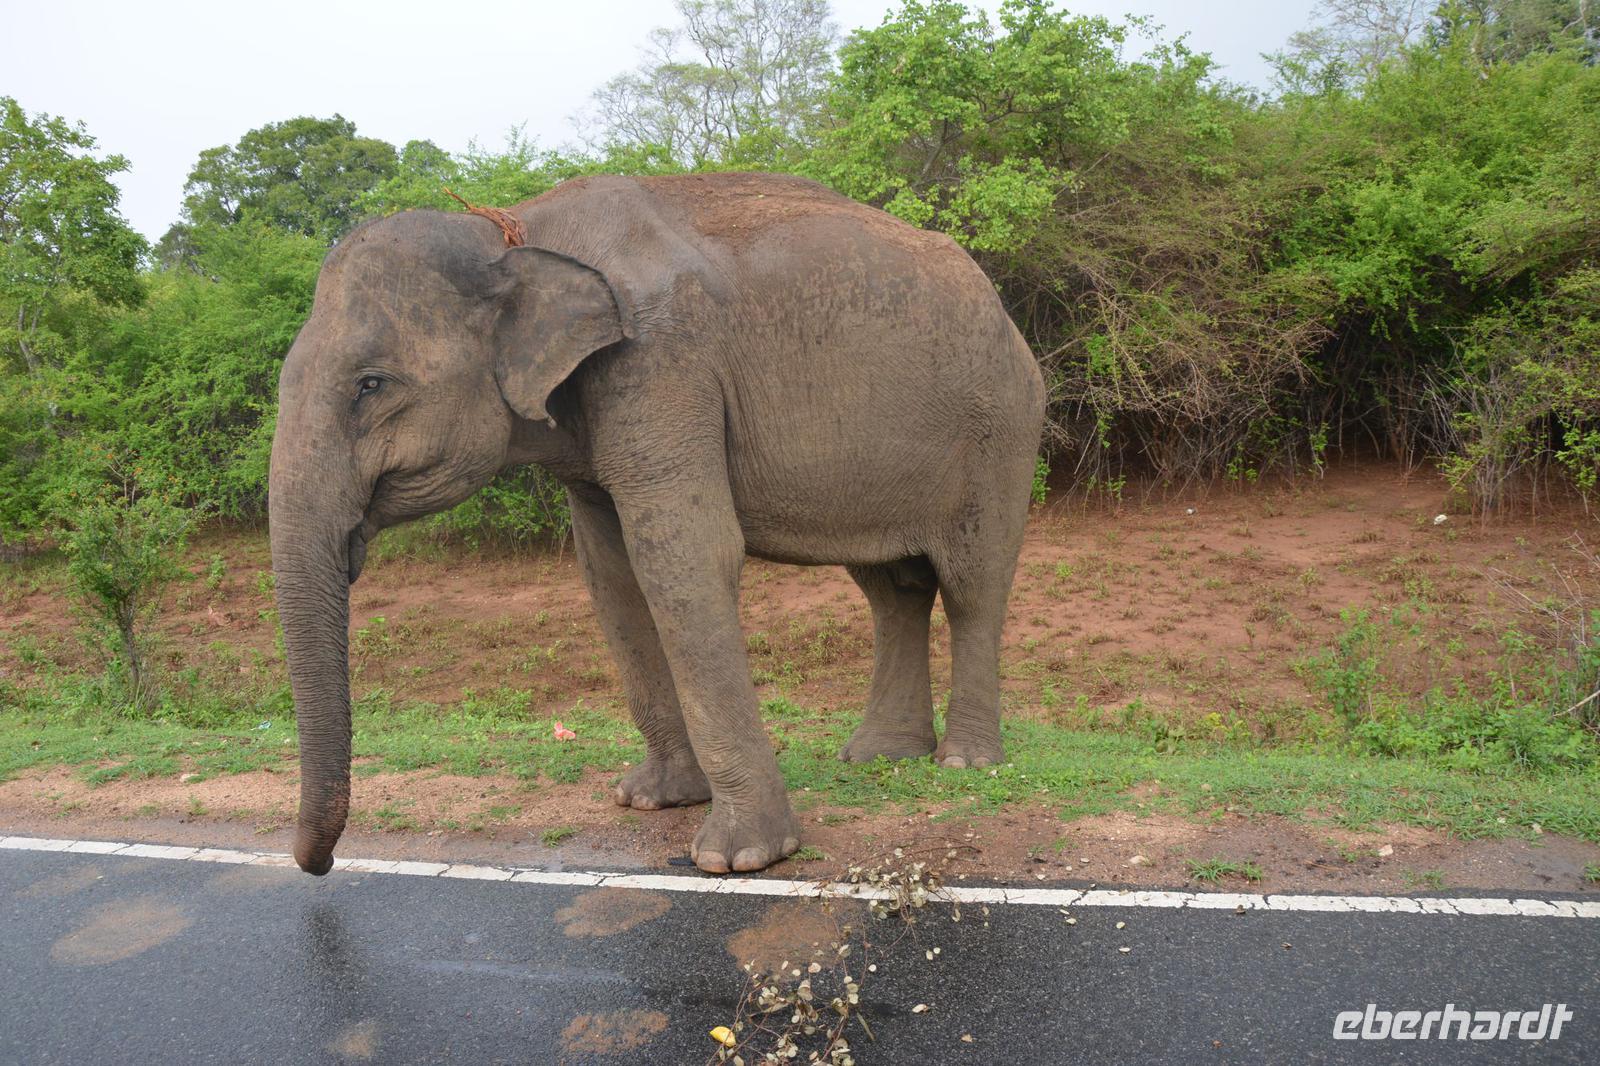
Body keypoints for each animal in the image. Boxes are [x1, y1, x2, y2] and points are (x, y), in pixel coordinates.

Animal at [269, 172, 1045, 877]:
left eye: (371, 386)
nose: (318, 865)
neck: (515, 228)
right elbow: (612, 576)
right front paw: (653, 801)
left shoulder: (662, 364)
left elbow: (684, 559)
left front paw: (742, 858)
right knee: (893, 589)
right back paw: (879, 755)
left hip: (1001, 425)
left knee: (972, 584)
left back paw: (966, 765)